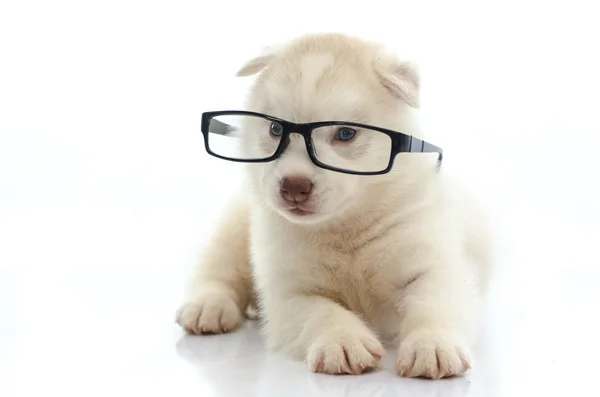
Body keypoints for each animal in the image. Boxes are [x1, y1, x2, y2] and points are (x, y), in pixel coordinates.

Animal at [175, 33, 492, 378]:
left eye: (345, 133)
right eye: (275, 129)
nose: (293, 186)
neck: (346, 228)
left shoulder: (432, 264)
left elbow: (432, 305)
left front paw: (432, 346)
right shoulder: (290, 293)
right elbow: (323, 313)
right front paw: (343, 342)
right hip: (235, 223)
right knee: (219, 266)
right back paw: (207, 307)